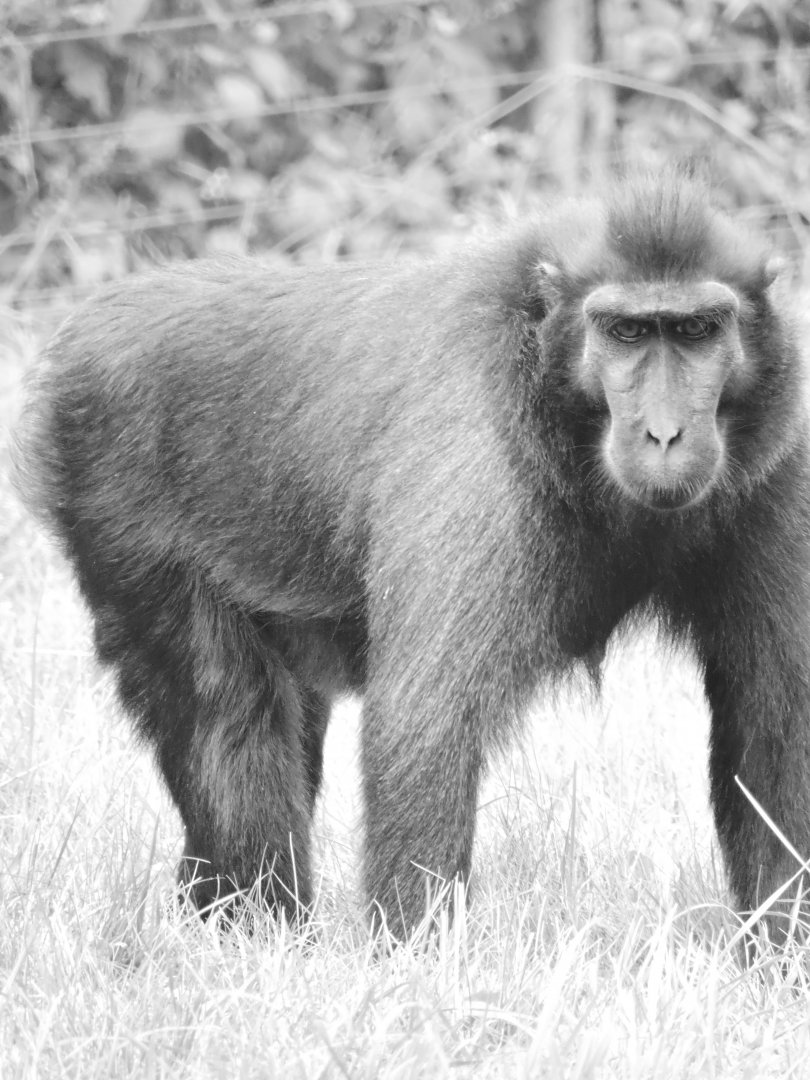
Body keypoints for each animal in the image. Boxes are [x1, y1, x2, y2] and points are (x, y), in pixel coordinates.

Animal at [14, 176, 810, 944]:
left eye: (698, 330)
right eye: (628, 332)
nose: (665, 433)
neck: (544, 374)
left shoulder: (782, 453)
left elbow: (774, 728)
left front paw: (780, 959)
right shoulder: (476, 450)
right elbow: (426, 722)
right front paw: (415, 966)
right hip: (114, 497)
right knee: (227, 714)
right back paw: (260, 934)